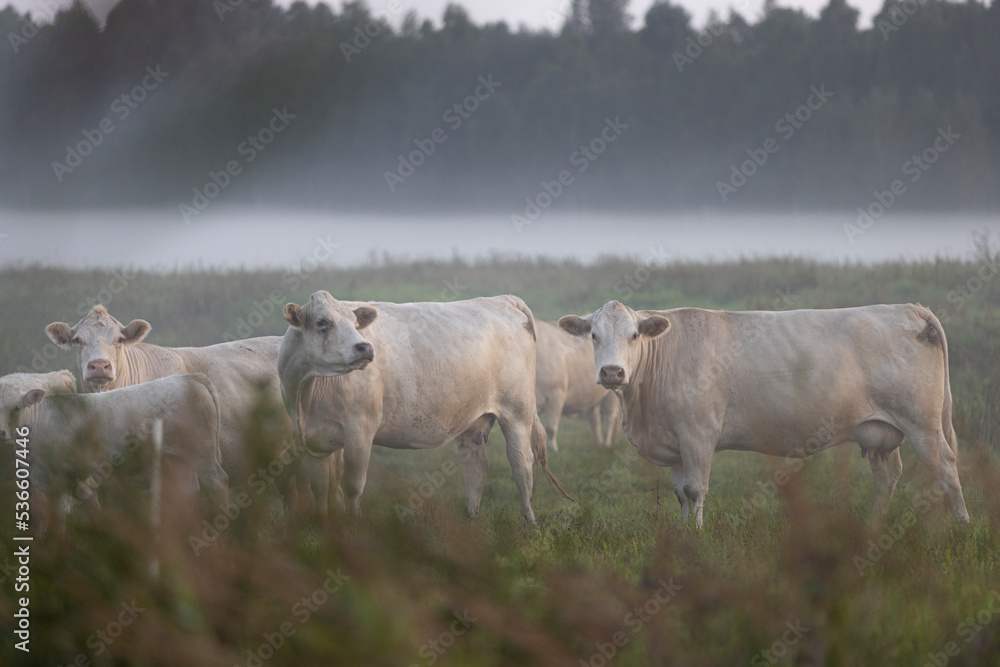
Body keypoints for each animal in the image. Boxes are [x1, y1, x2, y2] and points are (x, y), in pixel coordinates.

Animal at [0, 371, 229, 528]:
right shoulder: (39, 475)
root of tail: (191, 377)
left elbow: (61, 511)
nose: (1, 432)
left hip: (201, 453)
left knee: (217, 482)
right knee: (188, 489)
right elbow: (42, 512)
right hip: (179, 458)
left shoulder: (63, 474)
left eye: (16, 408)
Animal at [278, 291, 571, 524]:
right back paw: (471, 519)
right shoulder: (309, 441)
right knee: (475, 466)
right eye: (321, 322)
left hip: (517, 412)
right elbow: (319, 487)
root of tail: (501, 299)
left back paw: (529, 522)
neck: (308, 393)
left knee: (521, 465)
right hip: (472, 417)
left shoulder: (359, 432)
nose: (364, 347)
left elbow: (352, 486)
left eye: (354, 323)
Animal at [535, 319, 619, 452]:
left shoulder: (557, 394)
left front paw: (553, 451)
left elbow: (550, 427)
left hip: (612, 391)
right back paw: (598, 443)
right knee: (594, 419)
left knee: (610, 417)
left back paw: (606, 444)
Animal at [559, 301, 970, 527]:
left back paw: (962, 528)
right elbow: (679, 493)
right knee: (887, 475)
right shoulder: (674, 442)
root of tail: (909, 309)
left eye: (634, 335)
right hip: (879, 430)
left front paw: (697, 535)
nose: (613, 372)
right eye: (593, 335)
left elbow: (695, 489)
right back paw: (871, 525)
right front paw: (682, 533)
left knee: (947, 468)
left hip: (922, 423)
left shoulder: (698, 433)